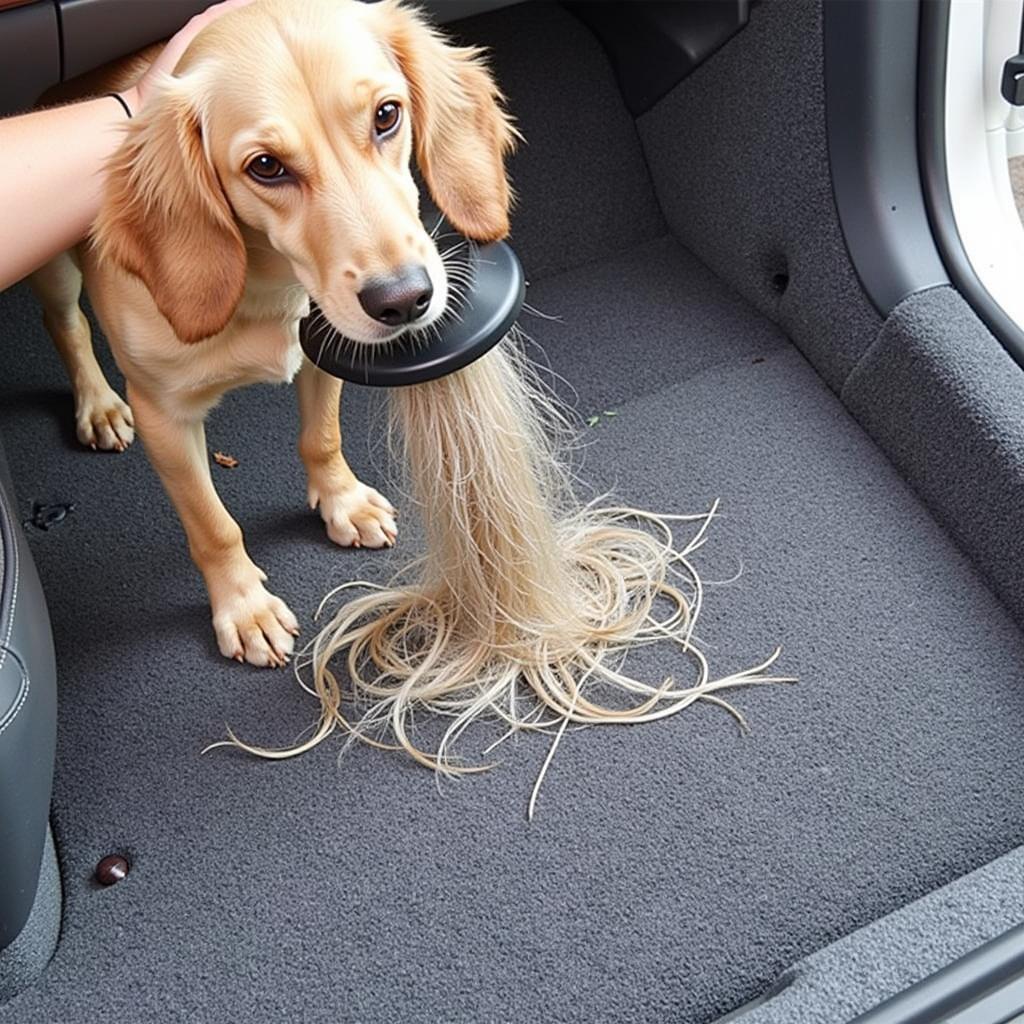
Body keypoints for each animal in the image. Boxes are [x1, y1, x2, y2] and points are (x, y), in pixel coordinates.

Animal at [28, 0, 516, 667]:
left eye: (387, 115)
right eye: (266, 166)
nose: (404, 301)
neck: (266, 289)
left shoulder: (323, 354)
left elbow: (322, 439)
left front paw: (343, 502)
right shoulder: (163, 415)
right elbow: (213, 525)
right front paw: (245, 608)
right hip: (56, 274)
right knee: (66, 325)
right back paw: (97, 405)